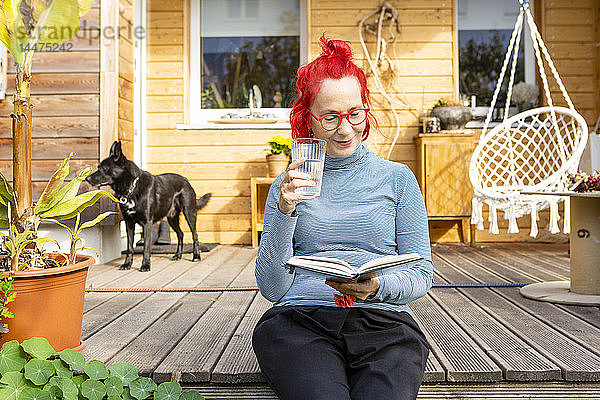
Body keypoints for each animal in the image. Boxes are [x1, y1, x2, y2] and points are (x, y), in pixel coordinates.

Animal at [86, 141, 211, 272]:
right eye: (98, 167)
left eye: (104, 169)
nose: (86, 178)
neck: (131, 188)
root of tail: (186, 180)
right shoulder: (129, 224)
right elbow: (130, 247)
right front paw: (127, 264)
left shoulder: (147, 223)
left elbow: (146, 247)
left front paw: (145, 265)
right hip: (171, 218)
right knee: (180, 234)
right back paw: (178, 255)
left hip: (189, 213)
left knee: (195, 235)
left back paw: (196, 256)